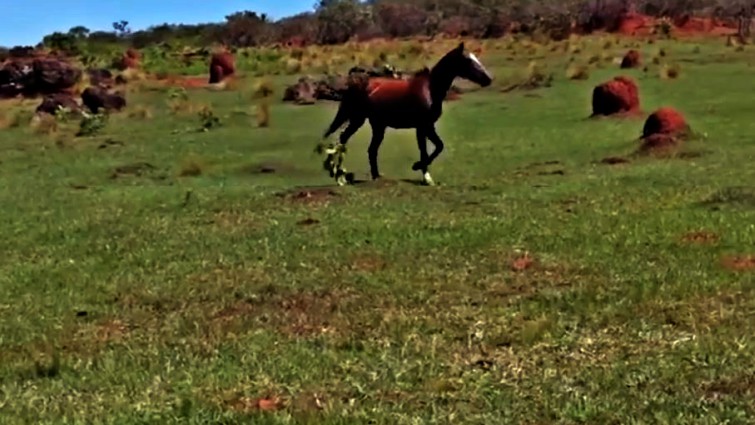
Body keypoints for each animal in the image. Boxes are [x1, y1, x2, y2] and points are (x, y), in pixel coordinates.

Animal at [321, 42, 493, 186]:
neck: (430, 90)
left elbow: (437, 146)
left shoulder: (428, 126)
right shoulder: (423, 127)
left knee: (370, 149)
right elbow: (428, 150)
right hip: (358, 119)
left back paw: (375, 176)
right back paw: (340, 176)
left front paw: (423, 173)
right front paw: (421, 172)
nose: (488, 79)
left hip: (377, 125)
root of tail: (359, 84)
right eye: (468, 61)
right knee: (343, 140)